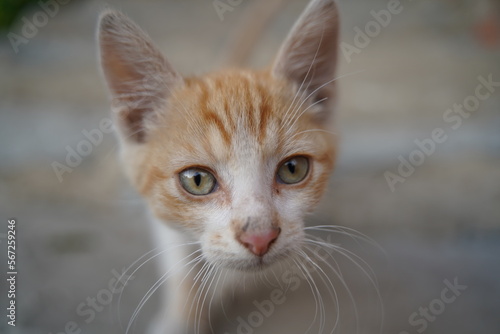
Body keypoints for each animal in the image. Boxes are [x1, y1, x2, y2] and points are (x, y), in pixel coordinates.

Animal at [97, 1, 340, 332]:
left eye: (293, 169)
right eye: (197, 180)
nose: (259, 237)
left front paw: (221, 284)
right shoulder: (160, 214)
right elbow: (180, 262)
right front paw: (183, 317)